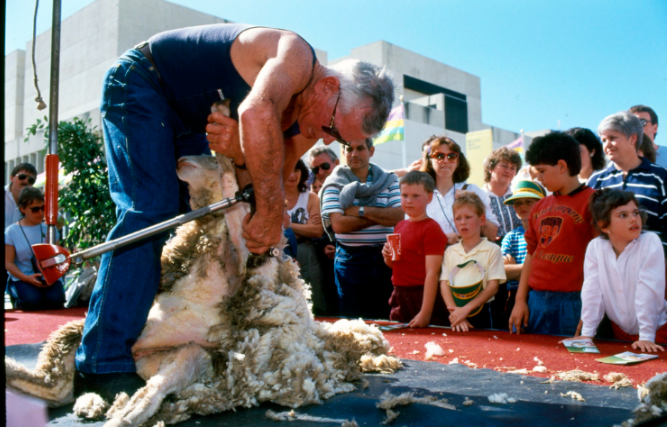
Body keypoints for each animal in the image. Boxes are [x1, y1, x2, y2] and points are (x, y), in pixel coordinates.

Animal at [5, 155, 400, 427]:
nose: (182, 160)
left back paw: (121, 414)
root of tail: (139, 355)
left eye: (208, 157)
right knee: (55, 385)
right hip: (92, 340)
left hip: (191, 355)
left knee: (141, 391)